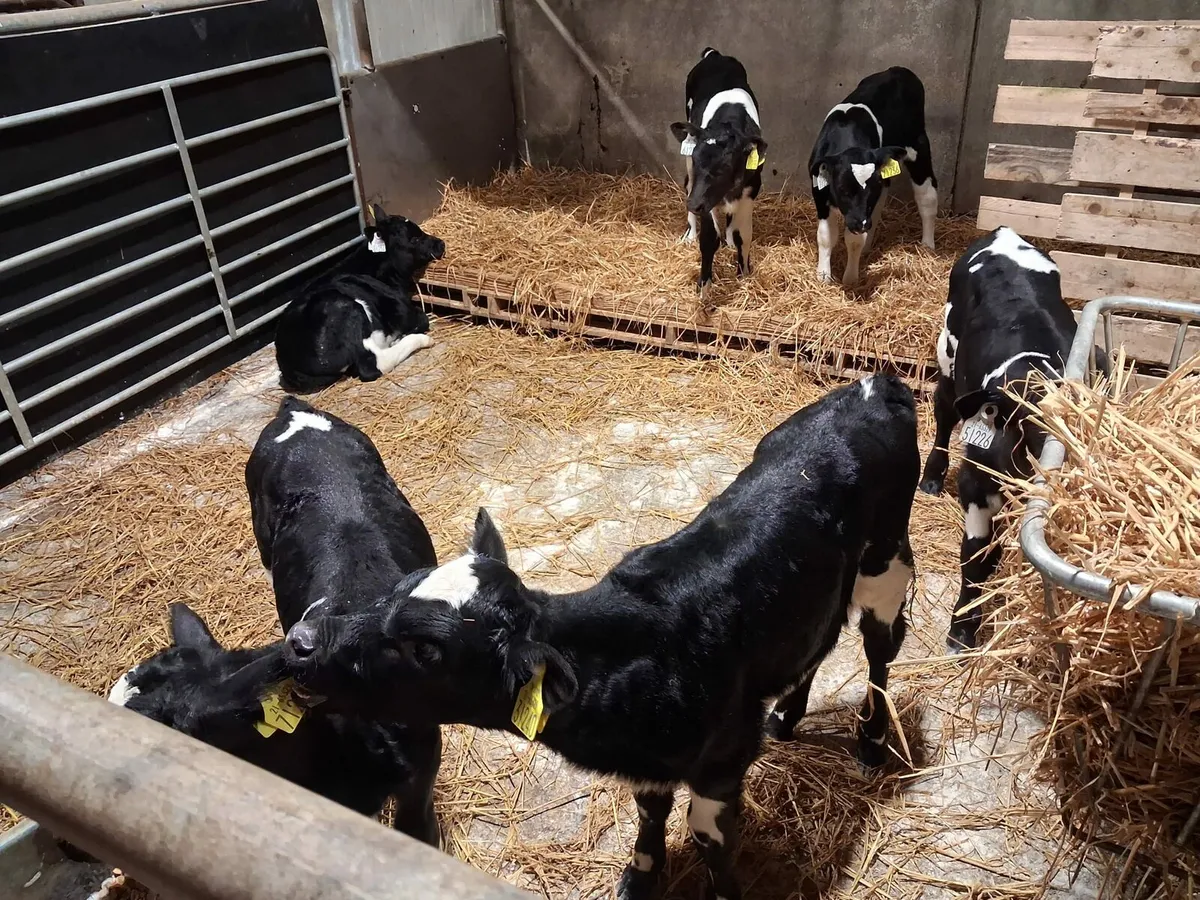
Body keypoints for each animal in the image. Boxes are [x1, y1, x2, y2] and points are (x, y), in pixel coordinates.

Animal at [809, 66, 938, 286]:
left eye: (871, 189)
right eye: (842, 189)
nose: (861, 224)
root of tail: (899, 70)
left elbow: (853, 240)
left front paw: (850, 278)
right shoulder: (819, 193)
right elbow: (826, 236)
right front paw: (824, 276)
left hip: (918, 144)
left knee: (927, 196)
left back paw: (927, 246)